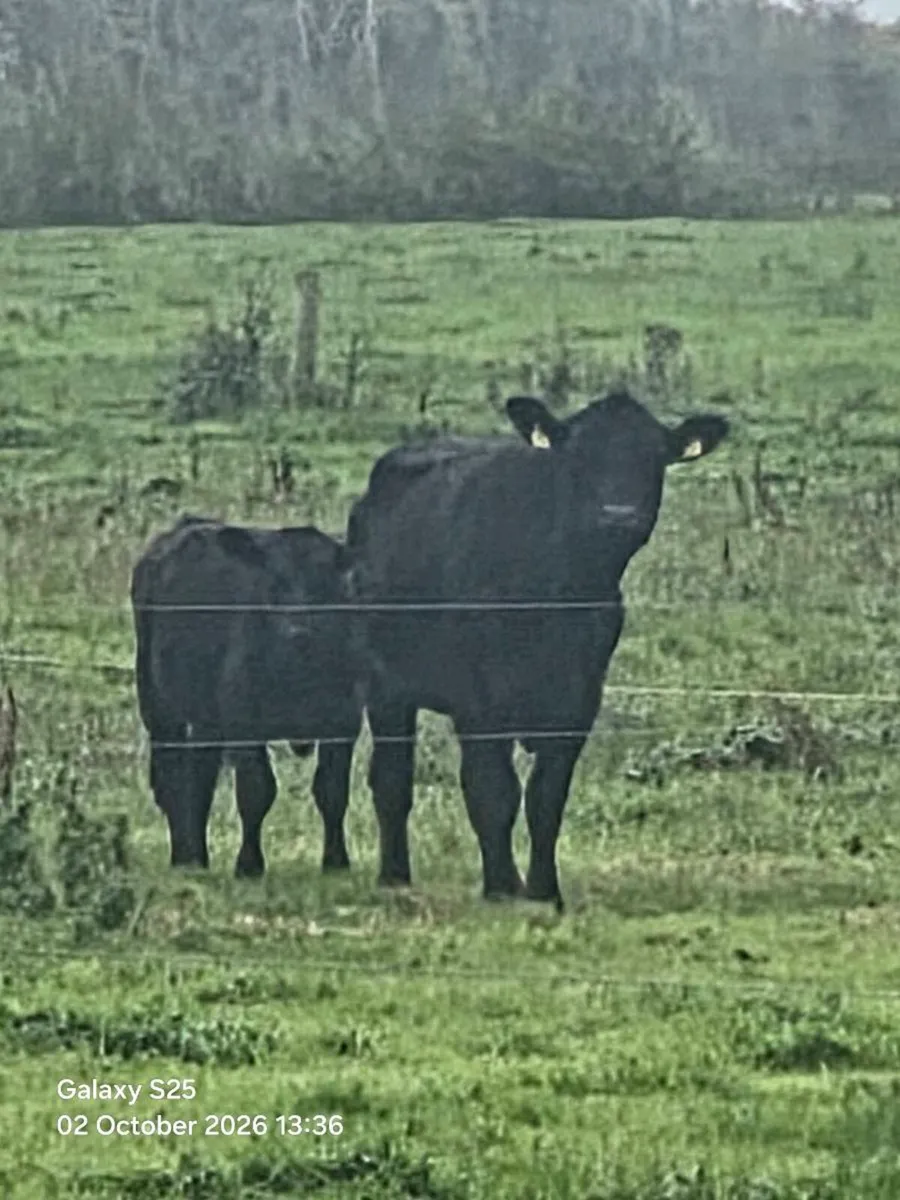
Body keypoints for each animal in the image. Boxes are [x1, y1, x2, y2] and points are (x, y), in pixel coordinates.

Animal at [130, 514, 363, 878]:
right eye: (273, 586)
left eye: (328, 587)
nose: (296, 630)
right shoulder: (243, 721)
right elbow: (256, 790)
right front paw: (249, 865)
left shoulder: (344, 722)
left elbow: (332, 790)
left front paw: (336, 862)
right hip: (157, 704)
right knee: (171, 779)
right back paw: (183, 858)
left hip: (206, 719)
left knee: (199, 778)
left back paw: (197, 856)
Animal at [345, 389, 730, 911]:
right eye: (579, 458)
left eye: (653, 458)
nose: (617, 513)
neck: (559, 590)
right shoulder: (478, 702)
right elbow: (494, 791)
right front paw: (501, 887)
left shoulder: (579, 701)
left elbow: (546, 797)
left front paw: (545, 890)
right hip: (385, 685)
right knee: (391, 778)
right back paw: (395, 876)